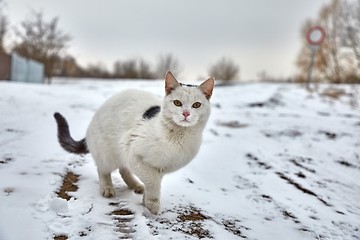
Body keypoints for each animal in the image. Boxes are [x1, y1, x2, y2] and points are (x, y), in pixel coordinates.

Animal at [54, 71, 214, 214]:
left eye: (196, 105)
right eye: (177, 103)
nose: (186, 113)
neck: (177, 137)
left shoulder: (160, 168)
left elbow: (152, 181)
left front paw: (146, 200)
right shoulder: (132, 150)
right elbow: (152, 181)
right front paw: (152, 203)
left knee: (123, 169)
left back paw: (135, 185)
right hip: (108, 153)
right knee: (104, 170)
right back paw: (107, 188)